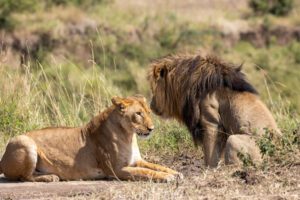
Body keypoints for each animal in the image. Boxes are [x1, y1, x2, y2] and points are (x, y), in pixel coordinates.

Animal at [0, 96, 182, 182]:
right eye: (138, 114)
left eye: (149, 113)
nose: (152, 128)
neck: (129, 136)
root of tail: (2, 158)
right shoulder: (116, 171)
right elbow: (146, 172)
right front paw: (167, 177)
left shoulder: (136, 161)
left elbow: (157, 166)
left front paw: (176, 173)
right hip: (25, 142)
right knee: (24, 177)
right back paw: (51, 178)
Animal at [148, 54, 282, 167]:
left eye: (154, 90)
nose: (150, 105)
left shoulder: (211, 123)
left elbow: (210, 153)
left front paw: (208, 169)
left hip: (234, 140)